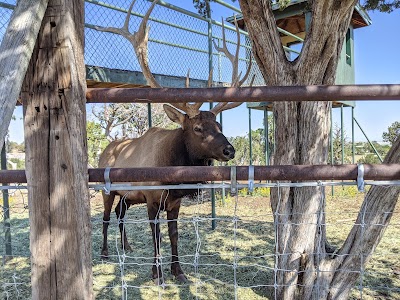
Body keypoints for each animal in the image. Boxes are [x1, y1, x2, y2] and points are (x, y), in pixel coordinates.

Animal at [97, 0, 253, 284]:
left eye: (220, 126)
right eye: (198, 128)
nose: (229, 149)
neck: (172, 170)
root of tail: (105, 150)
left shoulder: (174, 202)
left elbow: (174, 235)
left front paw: (179, 271)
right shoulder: (151, 198)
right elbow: (157, 237)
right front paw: (157, 273)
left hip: (126, 196)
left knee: (119, 215)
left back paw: (127, 246)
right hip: (107, 189)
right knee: (105, 217)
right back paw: (105, 253)